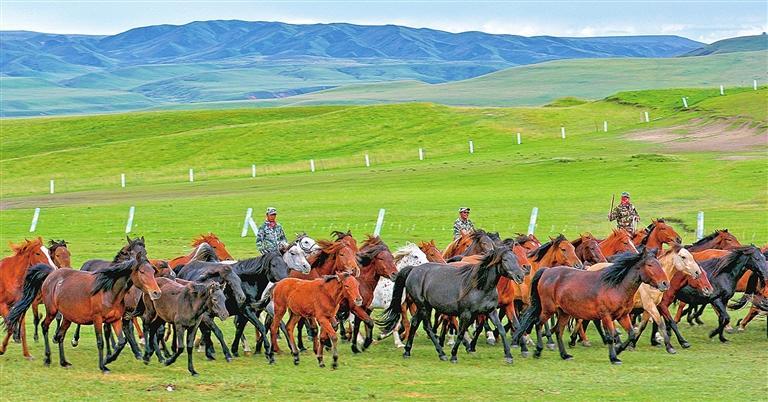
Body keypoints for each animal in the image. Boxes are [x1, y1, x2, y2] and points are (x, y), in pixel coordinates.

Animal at [5, 257, 161, 372]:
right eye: (141, 271)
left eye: (153, 271)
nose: (156, 292)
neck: (109, 292)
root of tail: (51, 274)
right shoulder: (98, 320)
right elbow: (100, 342)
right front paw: (103, 366)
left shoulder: (115, 319)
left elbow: (121, 342)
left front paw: (109, 359)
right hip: (52, 311)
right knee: (44, 326)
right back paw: (48, 359)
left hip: (67, 318)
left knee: (60, 335)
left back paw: (64, 362)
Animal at [378, 246, 525, 364]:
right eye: (505, 260)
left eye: (516, 259)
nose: (520, 276)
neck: (480, 287)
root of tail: (413, 269)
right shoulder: (466, 314)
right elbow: (460, 333)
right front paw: (454, 355)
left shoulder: (491, 311)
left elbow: (501, 330)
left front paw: (509, 356)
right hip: (423, 306)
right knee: (427, 327)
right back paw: (441, 353)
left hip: (425, 306)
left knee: (414, 323)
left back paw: (407, 351)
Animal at [513, 248, 668, 364]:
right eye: (650, 265)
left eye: (659, 263)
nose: (665, 283)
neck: (616, 286)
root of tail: (546, 271)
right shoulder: (606, 316)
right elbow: (610, 336)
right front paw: (613, 357)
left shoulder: (622, 316)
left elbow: (631, 334)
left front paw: (618, 350)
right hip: (548, 309)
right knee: (539, 324)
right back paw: (538, 351)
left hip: (564, 312)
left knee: (558, 330)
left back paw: (565, 355)